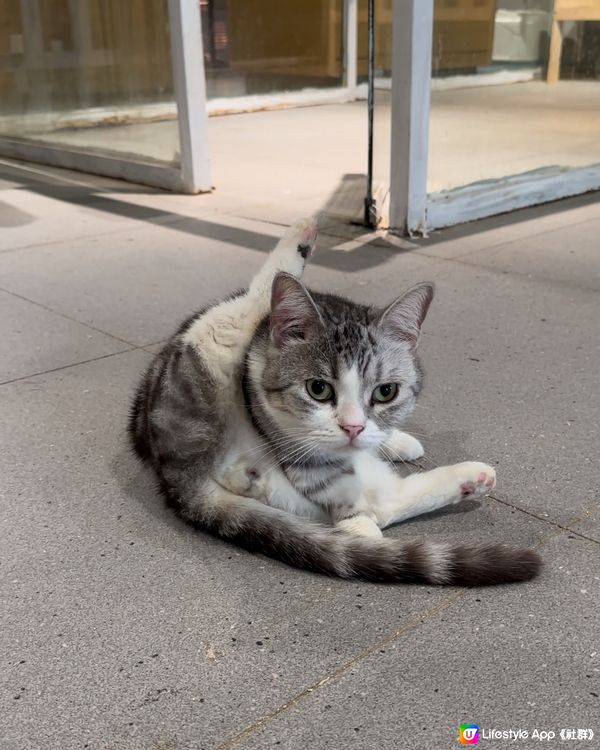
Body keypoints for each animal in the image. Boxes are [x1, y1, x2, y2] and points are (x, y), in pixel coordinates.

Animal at [129, 217, 540, 588]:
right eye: (318, 389)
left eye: (386, 392)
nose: (353, 427)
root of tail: (177, 474)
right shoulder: (297, 447)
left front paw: (392, 441)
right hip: (212, 346)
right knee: (252, 297)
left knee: (381, 501)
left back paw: (460, 477)